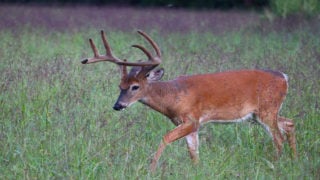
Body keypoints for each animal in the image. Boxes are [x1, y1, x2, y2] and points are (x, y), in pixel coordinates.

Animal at [81, 30, 296, 172]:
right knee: (289, 123)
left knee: (278, 138)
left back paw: (275, 165)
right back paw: (295, 159)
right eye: (120, 86)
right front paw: (197, 171)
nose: (118, 105)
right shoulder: (190, 126)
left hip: (266, 110)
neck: (172, 96)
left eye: (135, 86)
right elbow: (194, 152)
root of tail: (284, 77)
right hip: (260, 114)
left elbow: (165, 138)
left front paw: (151, 169)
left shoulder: (192, 119)